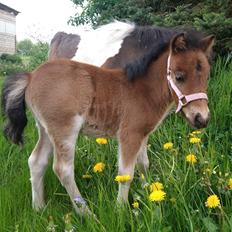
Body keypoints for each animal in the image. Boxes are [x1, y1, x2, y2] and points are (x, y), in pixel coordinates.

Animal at [2, 32, 215, 214]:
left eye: (206, 77)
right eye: (179, 77)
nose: (202, 118)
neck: (144, 91)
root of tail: (30, 77)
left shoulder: (142, 134)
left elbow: (143, 164)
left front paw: (150, 192)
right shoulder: (129, 134)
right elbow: (126, 173)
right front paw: (120, 210)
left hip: (45, 129)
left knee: (36, 161)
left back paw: (39, 208)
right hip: (64, 129)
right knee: (63, 169)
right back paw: (86, 214)